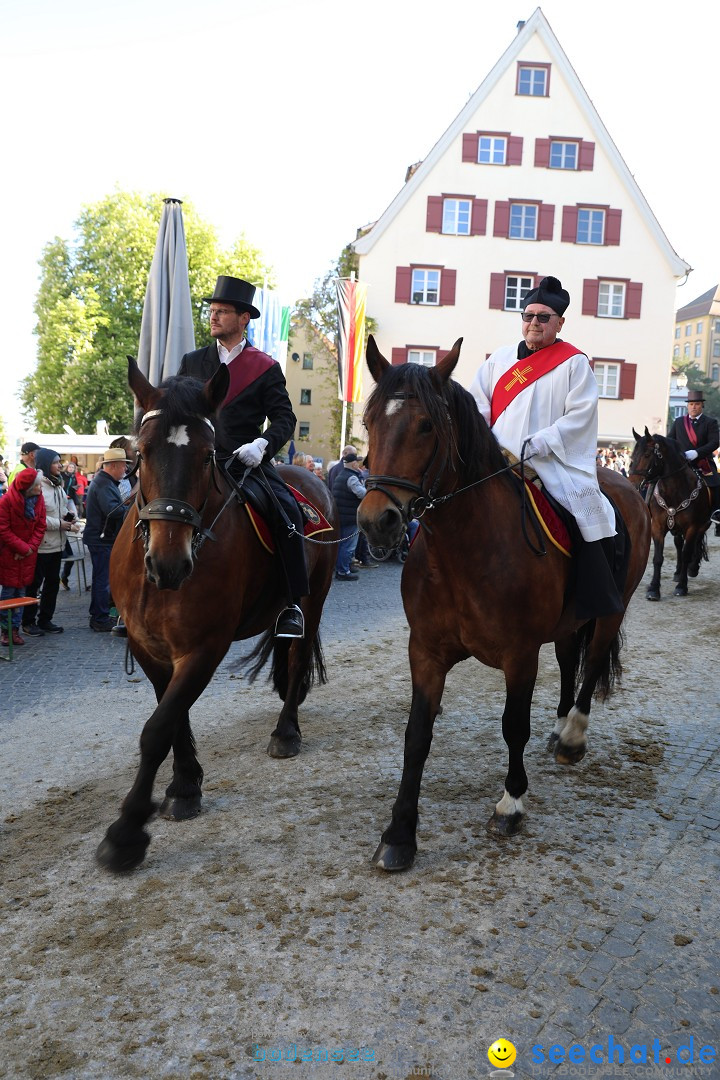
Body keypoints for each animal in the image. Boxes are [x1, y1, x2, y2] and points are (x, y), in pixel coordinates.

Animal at [94, 358, 338, 872]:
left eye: (208, 456)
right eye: (142, 453)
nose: (169, 563)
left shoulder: (204, 648)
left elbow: (157, 728)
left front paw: (126, 831)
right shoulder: (148, 648)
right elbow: (170, 719)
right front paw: (184, 786)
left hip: (314, 598)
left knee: (297, 655)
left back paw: (286, 731)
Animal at [358, 341, 651, 872]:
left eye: (426, 425)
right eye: (369, 421)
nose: (377, 522)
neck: (465, 551)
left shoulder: (520, 654)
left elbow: (513, 726)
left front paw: (511, 804)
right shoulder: (425, 652)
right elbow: (417, 736)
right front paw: (400, 833)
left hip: (611, 610)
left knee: (593, 662)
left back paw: (572, 736)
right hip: (567, 623)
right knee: (570, 660)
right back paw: (559, 727)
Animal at [626, 427, 712, 600]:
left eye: (647, 454)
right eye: (632, 455)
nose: (632, 485)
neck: (675, 491)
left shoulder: (692, 527)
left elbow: (687, 553)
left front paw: (682, 586)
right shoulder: (658, 526)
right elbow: (658, 558)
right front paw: (653, 589)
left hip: (702, 524)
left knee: (695, 543)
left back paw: (692, 568)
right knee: (679, 544)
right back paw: (679, 572)